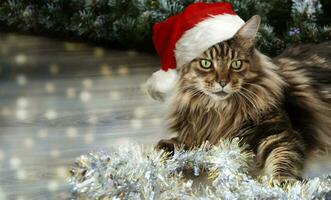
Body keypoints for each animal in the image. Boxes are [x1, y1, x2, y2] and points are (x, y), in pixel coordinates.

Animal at [156, 15, 331, 181]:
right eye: (206, 63)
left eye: (236, 64)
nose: (222, 82)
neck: (220, 111)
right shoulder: (199, 133)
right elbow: (175, 144)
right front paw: (161, 155)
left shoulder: (279, 134)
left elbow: (282, 159)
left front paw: (283, 183)